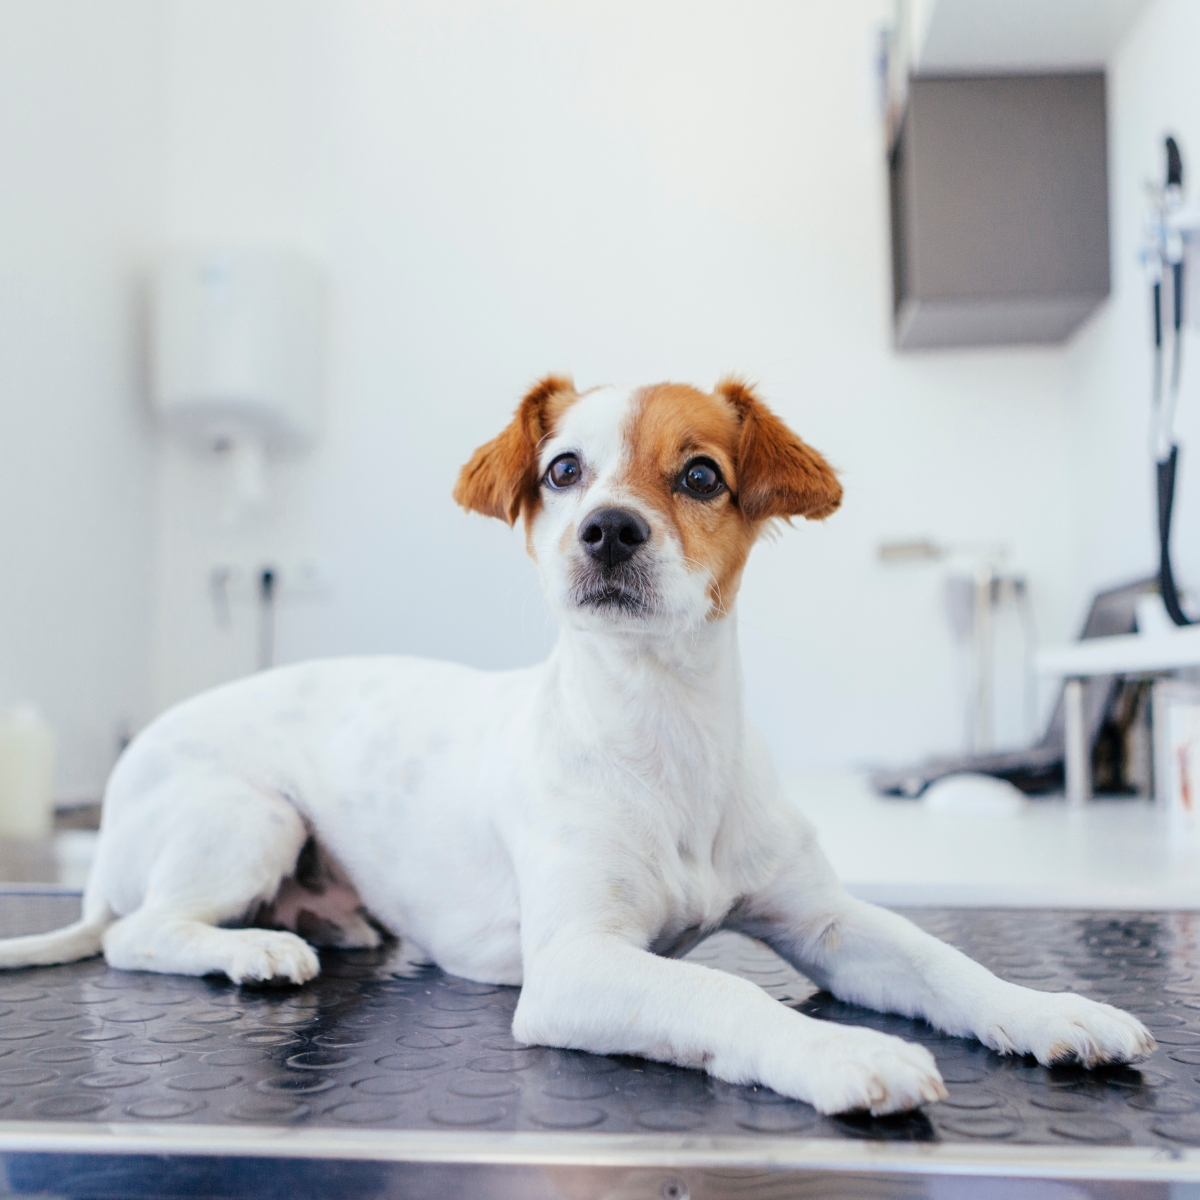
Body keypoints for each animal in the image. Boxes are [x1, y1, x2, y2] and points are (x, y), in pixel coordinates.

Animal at [0, 376, 1152, 1113]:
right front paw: (836, 1054)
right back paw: (253, 950)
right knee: (138, 934)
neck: (663, 726)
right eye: (562, 470)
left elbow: (945, 963)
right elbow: (721, 990)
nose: (608, 529)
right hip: (251, 815)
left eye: (701, 476)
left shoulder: (827, 923)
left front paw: (1052, 1011)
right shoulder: (574, 966)